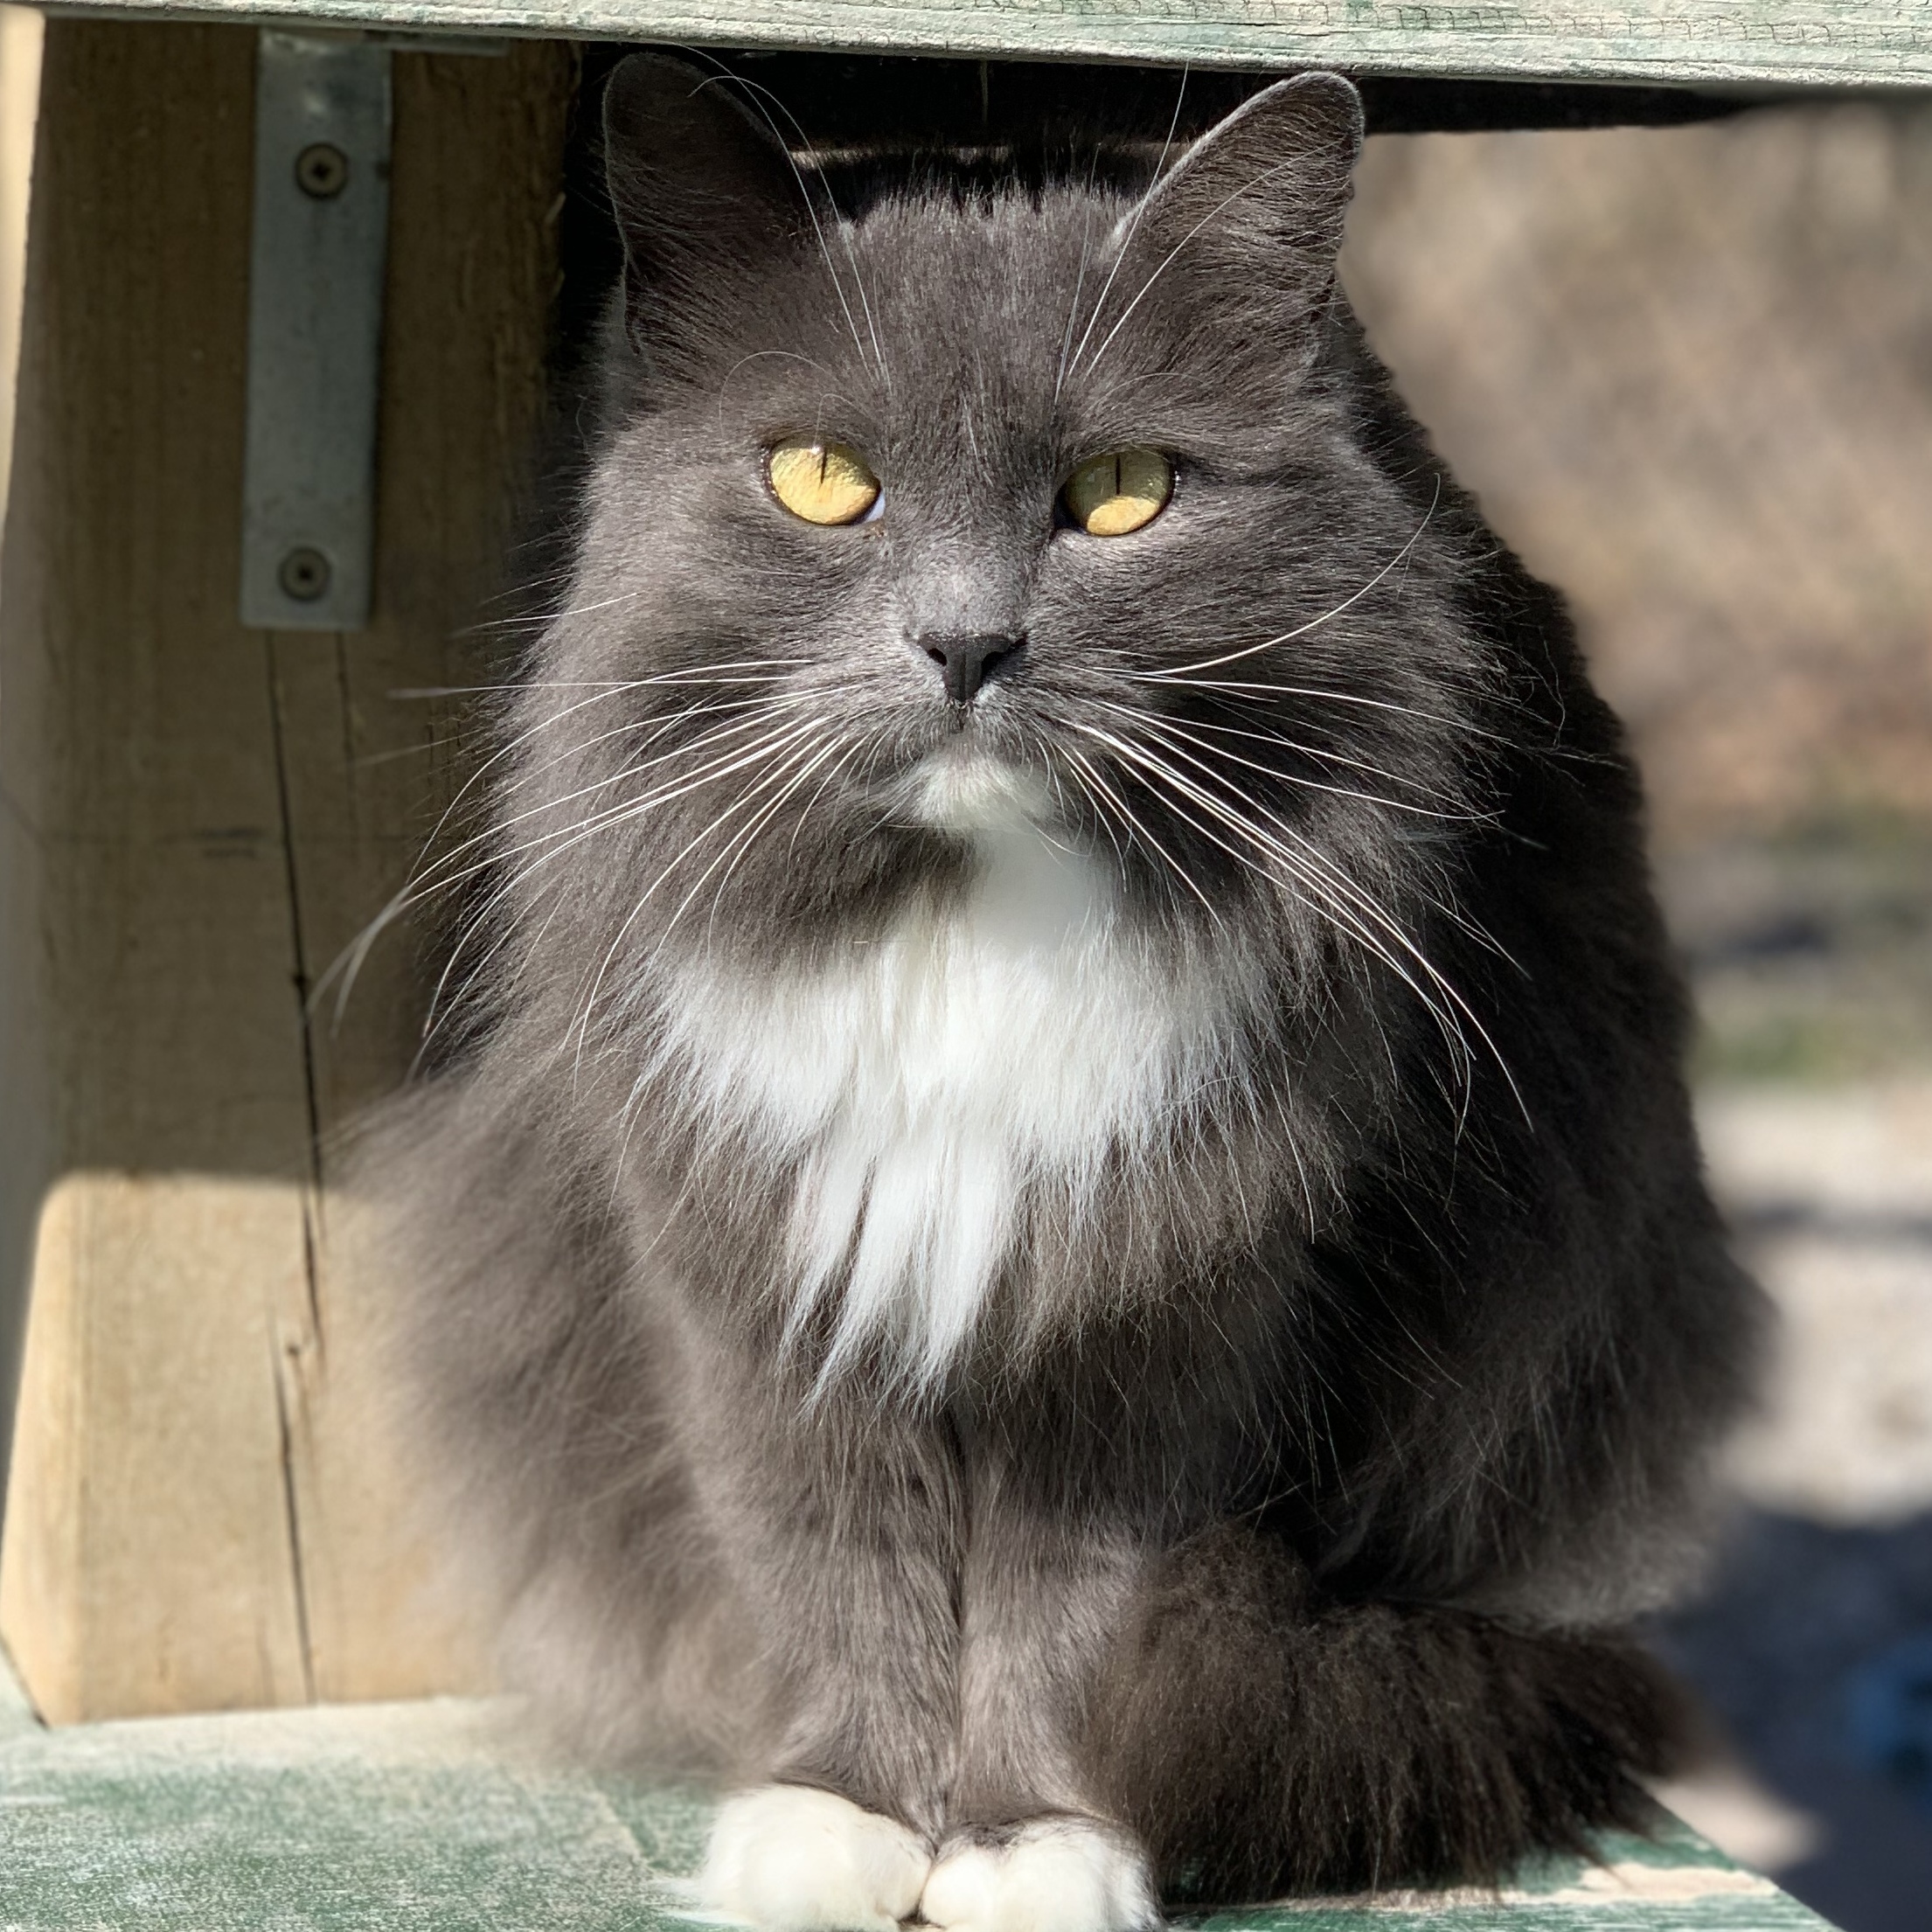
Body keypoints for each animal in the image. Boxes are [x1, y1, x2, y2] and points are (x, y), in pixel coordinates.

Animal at [363, 56, 1769, 1932]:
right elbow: (837, 1569)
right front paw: (839, 1822)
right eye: (823, 479)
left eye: (1120, 491)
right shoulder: (752, 1284)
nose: (967, 644)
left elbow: (1068, 1614)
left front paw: (1036, 1843)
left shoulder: (1176, 1318)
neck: (966, 931)